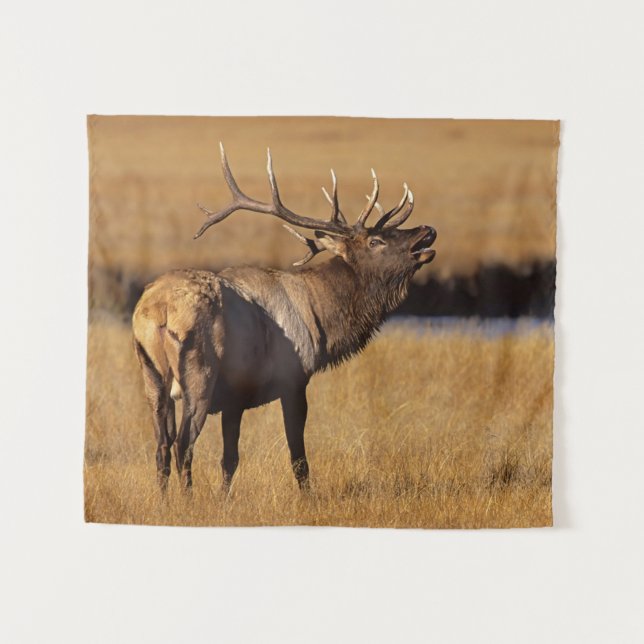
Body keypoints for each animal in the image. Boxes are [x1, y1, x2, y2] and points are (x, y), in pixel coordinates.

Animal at [132, 144, 437, 493]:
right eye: (375, 241)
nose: (427, 230)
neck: (320, 320)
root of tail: (158, 311)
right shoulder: (292, 380)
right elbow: (298, 459)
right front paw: (307, 498)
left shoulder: (235, 399)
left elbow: (229, 460)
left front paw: (224, 498)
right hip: (199, 373)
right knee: (183, 444)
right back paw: (188, 500)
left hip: (152, 377)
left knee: (161, 447)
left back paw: (165, 499)